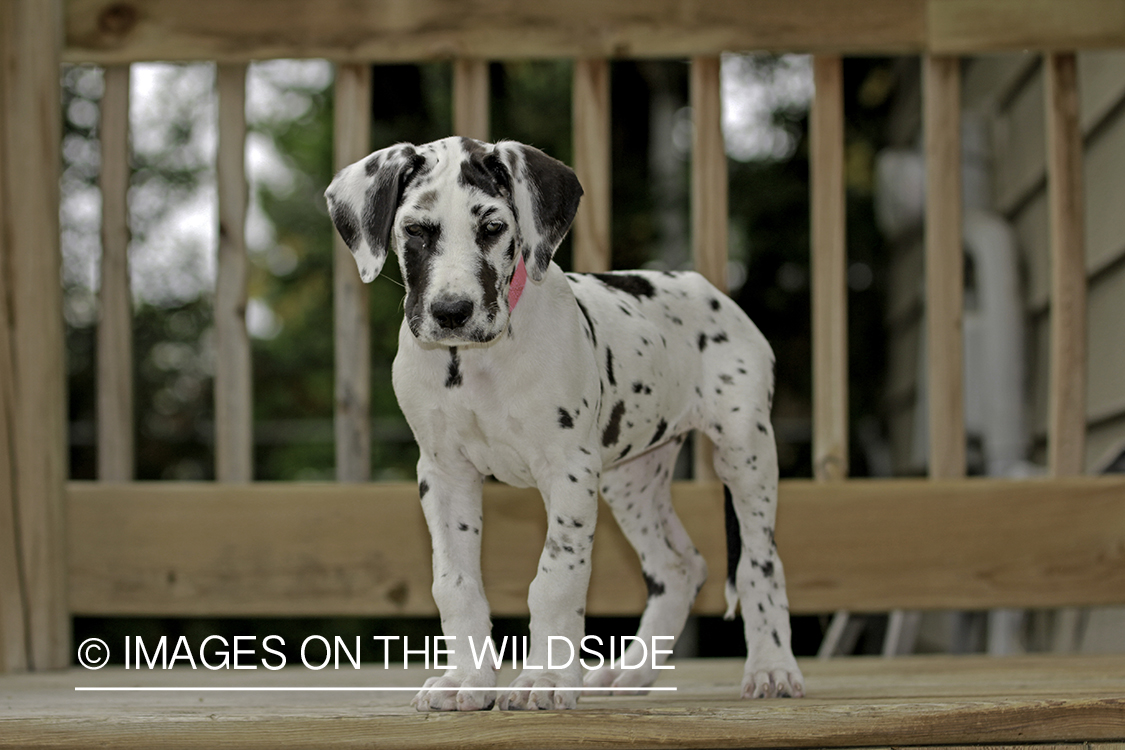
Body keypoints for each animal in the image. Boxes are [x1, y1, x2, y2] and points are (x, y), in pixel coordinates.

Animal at [324, 137, 801, 715]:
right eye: (415, 230)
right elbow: (454, 582)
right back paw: (630, 673)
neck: (476, 363)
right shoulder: (443, 473)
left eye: (492, 227)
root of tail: (703, 285)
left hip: (744, 453)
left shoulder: (568, 471)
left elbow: (555, 579)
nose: (452, 311)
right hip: (631, 478)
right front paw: (466, 679)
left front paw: (546, 679)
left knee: (759, 563)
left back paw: (772, 668)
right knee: (679, 568)